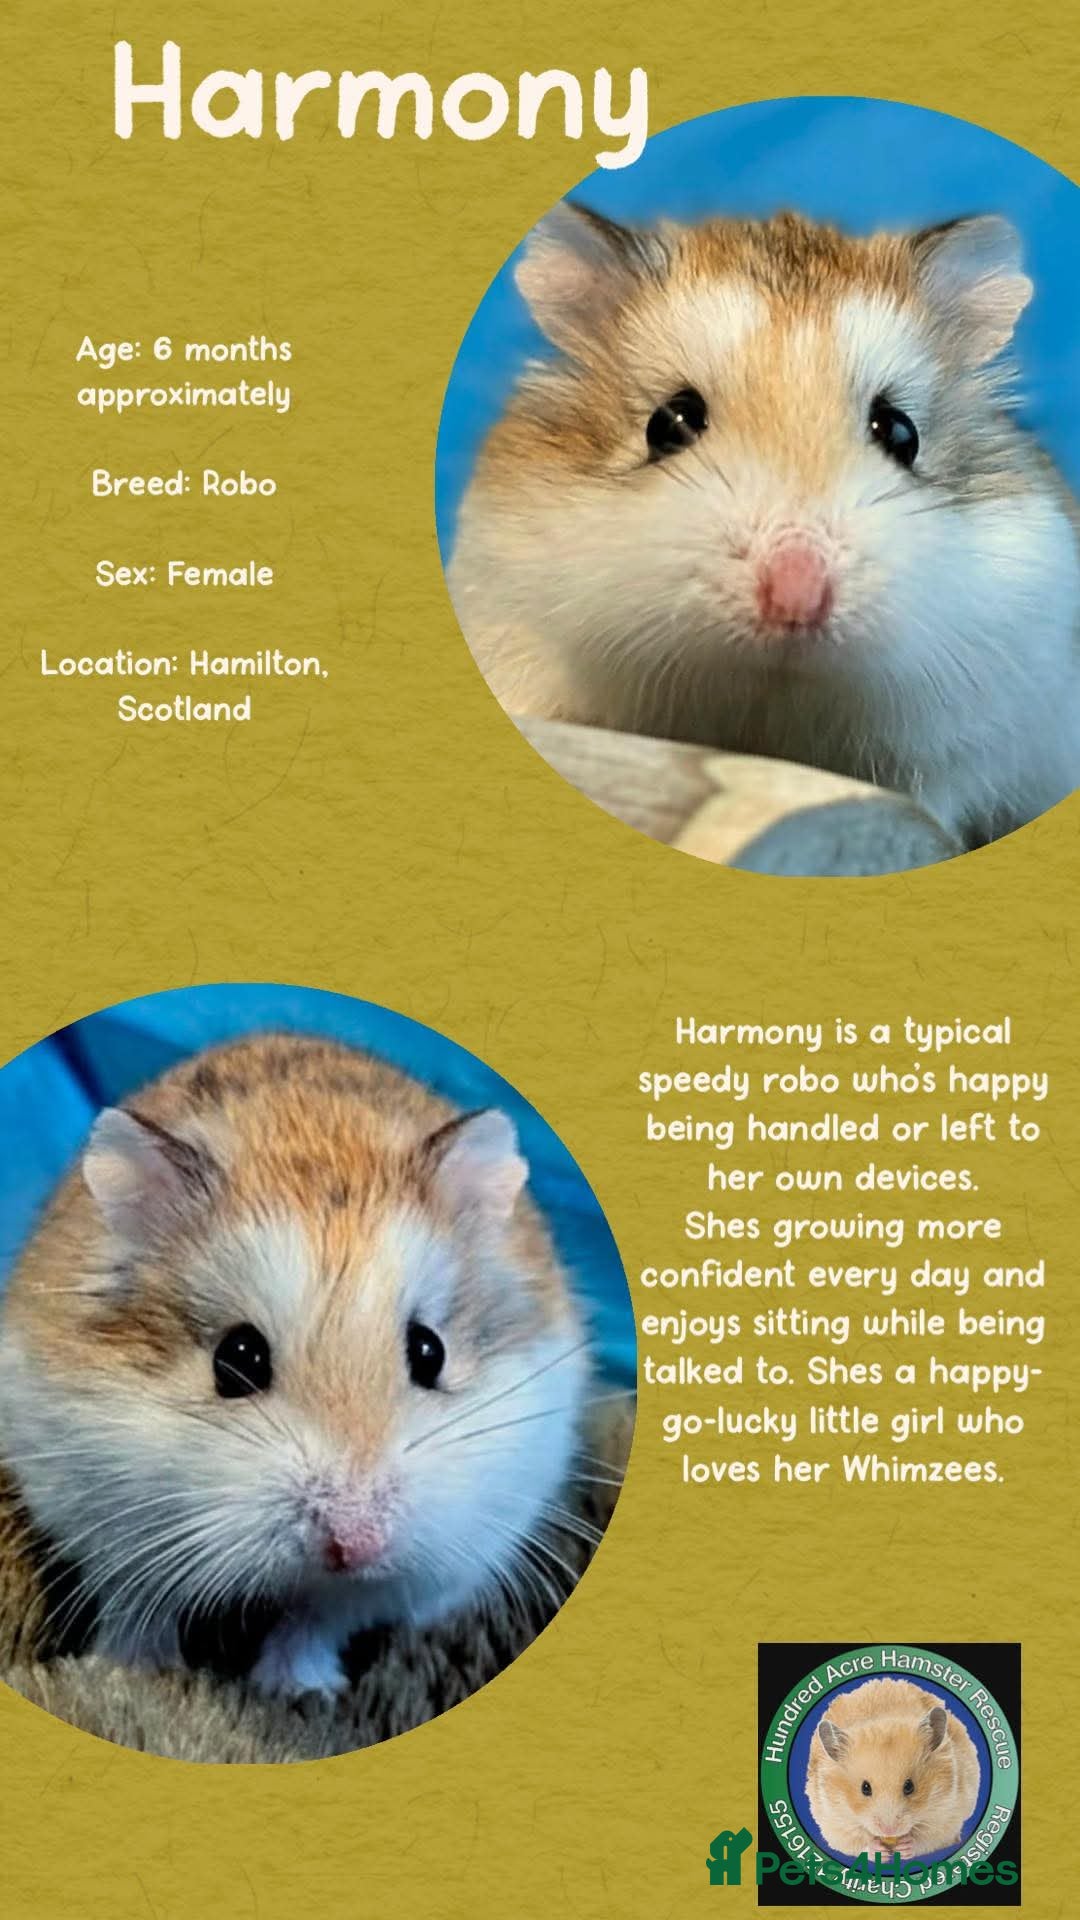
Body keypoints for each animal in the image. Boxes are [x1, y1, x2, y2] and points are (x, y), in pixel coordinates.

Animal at [0, 1034, 590, 1699]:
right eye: (237, 1358)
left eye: (430, 1351)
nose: (355, 1545)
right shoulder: (103, 1525)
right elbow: (139, 1607)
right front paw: (138, 1673)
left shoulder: (381, 1585)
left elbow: (314, 1622)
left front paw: (296, 1691)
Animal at [806, 1677, 981, 1860]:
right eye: (865, 1788)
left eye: (909, 1786)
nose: (889, 1830)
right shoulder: (833, 1821)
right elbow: (855, 1841)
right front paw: (880, 1853)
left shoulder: (947, 1813)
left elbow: (928, 1838)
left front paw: (905, 1847)